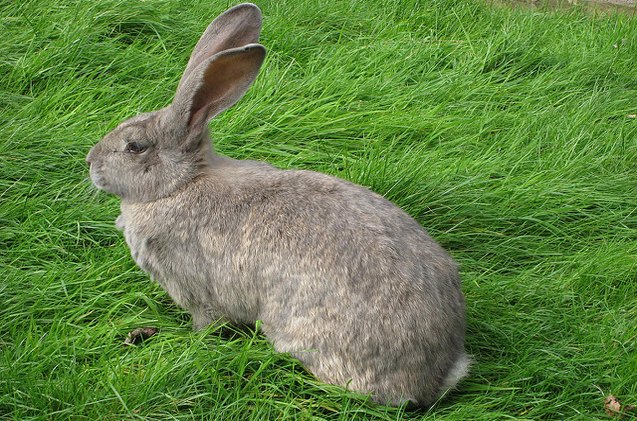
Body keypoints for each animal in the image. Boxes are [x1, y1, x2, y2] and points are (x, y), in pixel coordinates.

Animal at [85, 1, 468, 406]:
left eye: (135, 147)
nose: (90, 162)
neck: (178, 185)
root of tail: (437, 375)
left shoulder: (195, 289)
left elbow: (205, 322)